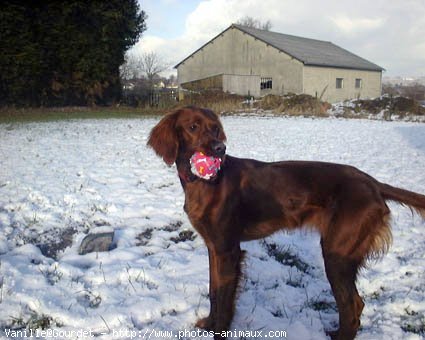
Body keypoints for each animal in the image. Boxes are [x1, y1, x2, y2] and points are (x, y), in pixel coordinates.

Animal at [148, 105, 424, 338]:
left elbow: (224, 299)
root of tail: (373, 183)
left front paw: (219, 331)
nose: (219, 149)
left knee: (352, 305)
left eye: (215, 128)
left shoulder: (228, 250)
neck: (204, 183)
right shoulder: (214, 248)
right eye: (193, 127)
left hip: (336, 253)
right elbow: (213, 291)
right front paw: (208, 324)